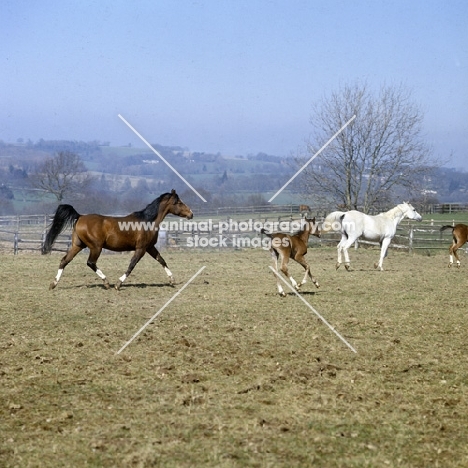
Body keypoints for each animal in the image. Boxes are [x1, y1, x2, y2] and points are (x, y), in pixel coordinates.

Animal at [41, 189, 192, 288]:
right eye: (178, 202)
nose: (191, 214)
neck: (147, 221)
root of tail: (80, 216)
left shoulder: (150, 247)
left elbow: (162, 260)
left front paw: (172, 280)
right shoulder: (141, 248)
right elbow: (132, 264)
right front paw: (119, 283)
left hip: (78, 246)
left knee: (64, 260)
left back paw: (53, 284)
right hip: (96, 247)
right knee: (90, 262)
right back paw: (107, 282)